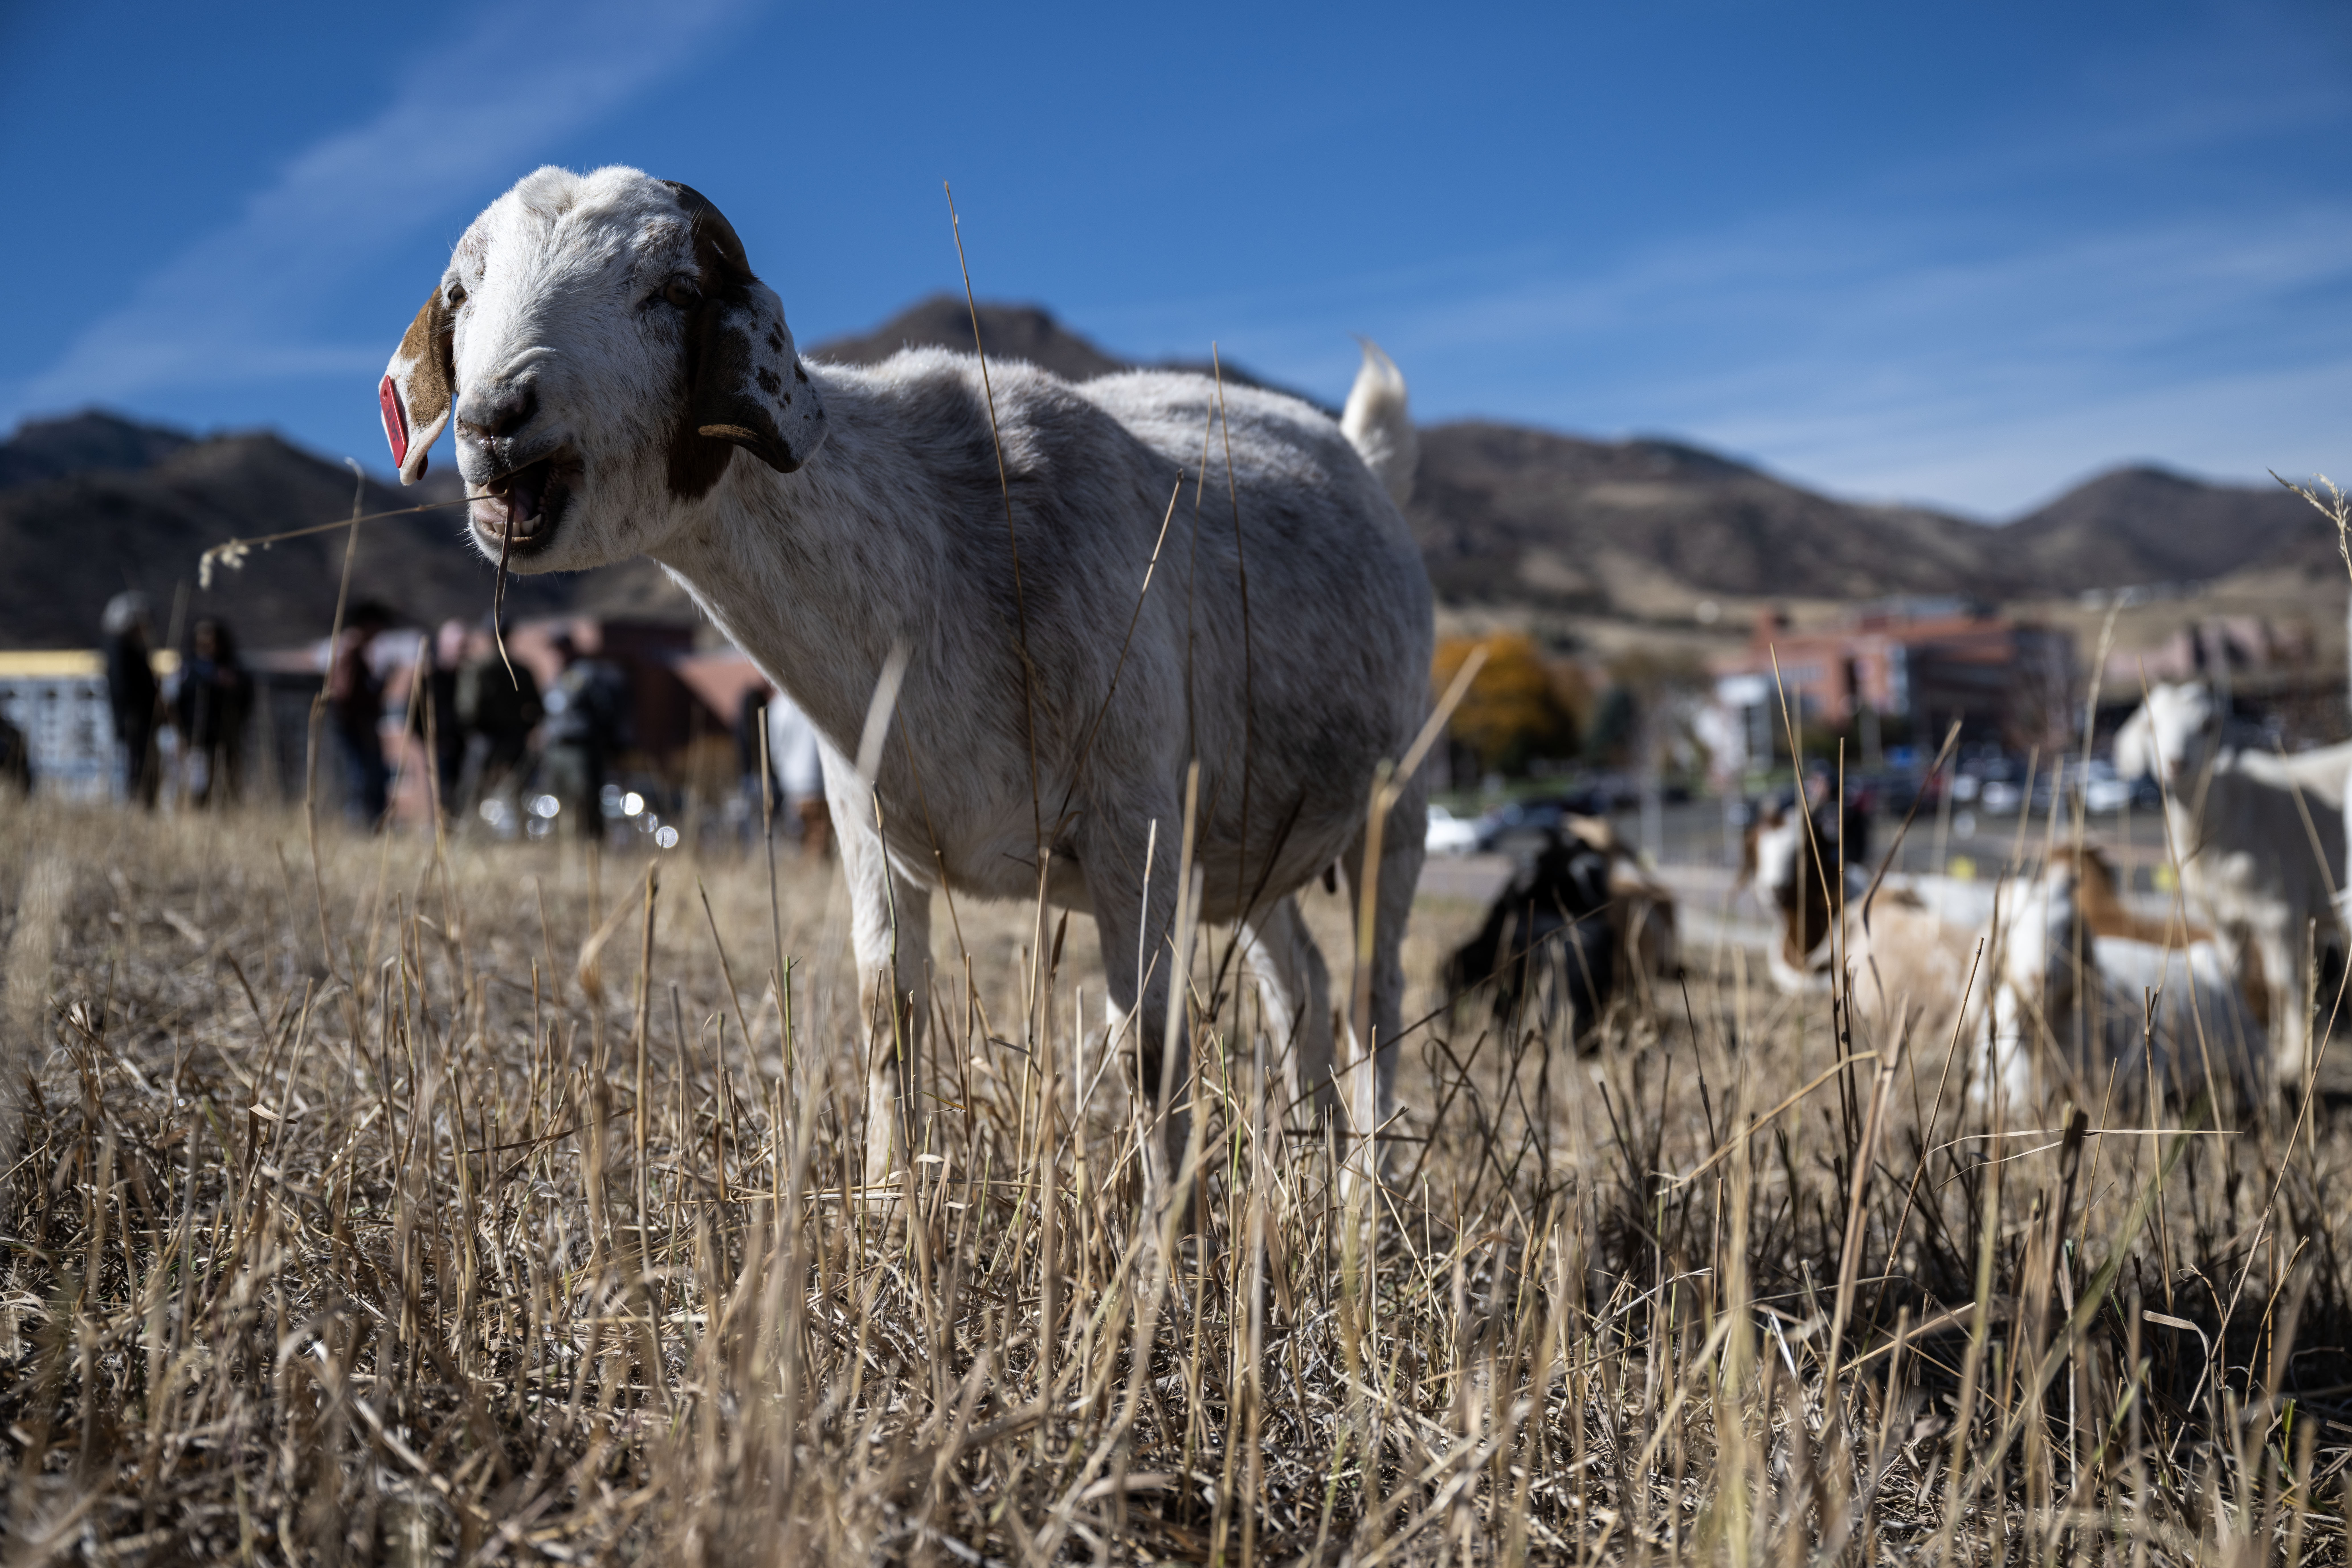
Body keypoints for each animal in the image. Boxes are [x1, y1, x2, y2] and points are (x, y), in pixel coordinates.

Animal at [380, 167, 1436, 1188]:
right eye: (461, 294)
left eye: (674, 291)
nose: (495, 418)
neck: (927, 542)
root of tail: (1361, 455)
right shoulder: (870, 828)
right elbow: (887, 1015)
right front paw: (893, 1198)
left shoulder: (1134, 825)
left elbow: (1147, 1046)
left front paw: (1163, 1233)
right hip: (1248, 838)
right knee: (1301, 979)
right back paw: (1314, 1159)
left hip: (1397, 801)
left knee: (1376, 993)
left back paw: (1367, 1186)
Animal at [2114, 680, 2351, 1081]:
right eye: (2153, 725)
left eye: (2207, 726)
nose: (2176, 763)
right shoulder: (2222, 914)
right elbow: (2231, 976)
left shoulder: (2279, 909)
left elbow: (2286, 982)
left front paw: (2291, 1061)